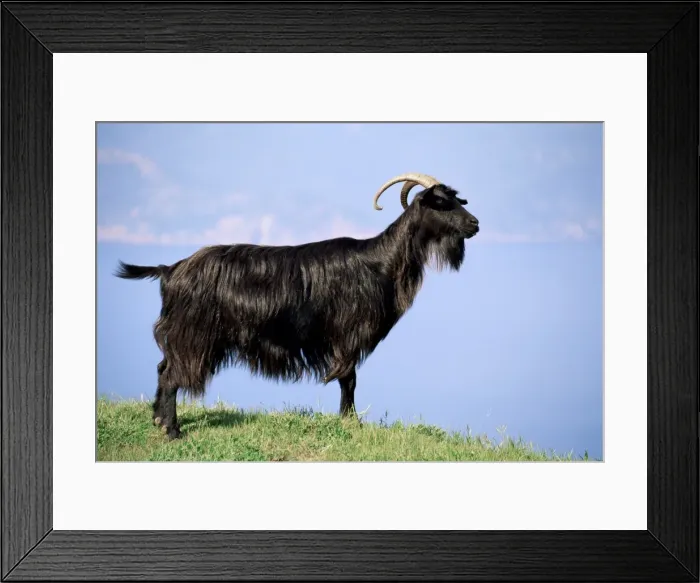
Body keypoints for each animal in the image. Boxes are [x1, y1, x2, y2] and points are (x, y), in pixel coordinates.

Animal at [114, 173, 480, 439]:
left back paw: (158, 421)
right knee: (172, 374)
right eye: (441, 203)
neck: (378, 262)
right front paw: (350, 422)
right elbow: (349, 379)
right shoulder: (345, 335)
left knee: (162, 368)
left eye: (457, 199)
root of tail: (170, 269)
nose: (475, 224)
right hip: (193, 334)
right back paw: (173, 431)